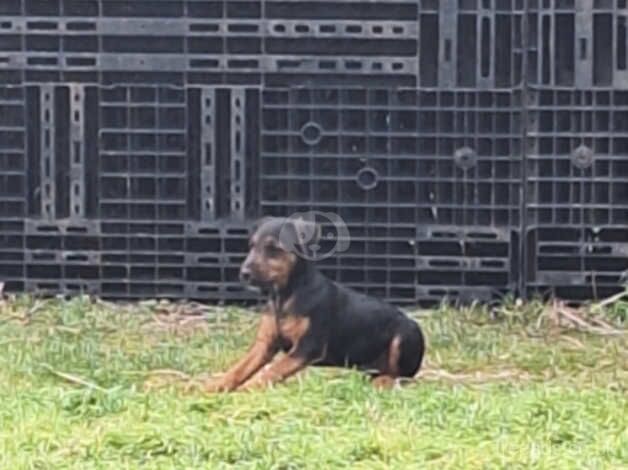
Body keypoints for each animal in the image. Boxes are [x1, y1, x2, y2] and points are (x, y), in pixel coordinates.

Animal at [204, 218, 424, 392]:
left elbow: (274, 370)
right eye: (251, 246)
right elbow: (240, 367)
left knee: (403, 376)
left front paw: (249, 388)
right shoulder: (264, 344)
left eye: (274, 249)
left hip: (406, 333)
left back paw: (384, 382)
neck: (286, 295)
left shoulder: (307, 347)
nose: (244, 273)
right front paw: (215, 385)